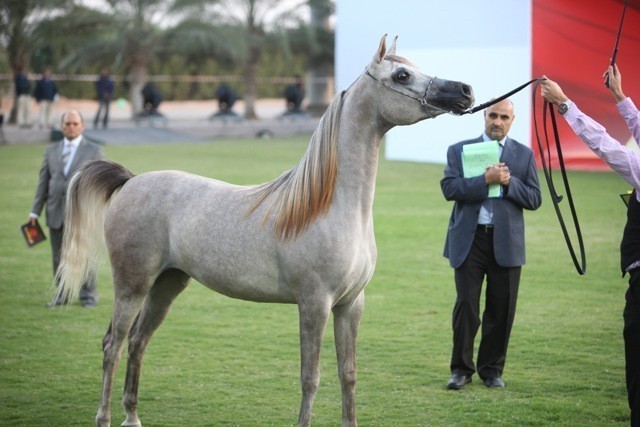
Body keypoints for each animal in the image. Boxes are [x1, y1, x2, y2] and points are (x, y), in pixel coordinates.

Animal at [55, 35, 474, 427]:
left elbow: (348, 374)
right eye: (401, 75)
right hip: (132, 285)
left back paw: (132, 415)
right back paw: (105, 417)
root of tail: (130, 181)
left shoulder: (351, 304)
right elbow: (311, 377)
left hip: (167, 284)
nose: (465, 91)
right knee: (113, 344)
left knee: (138, 342)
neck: (331, 207)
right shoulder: (314, 303)